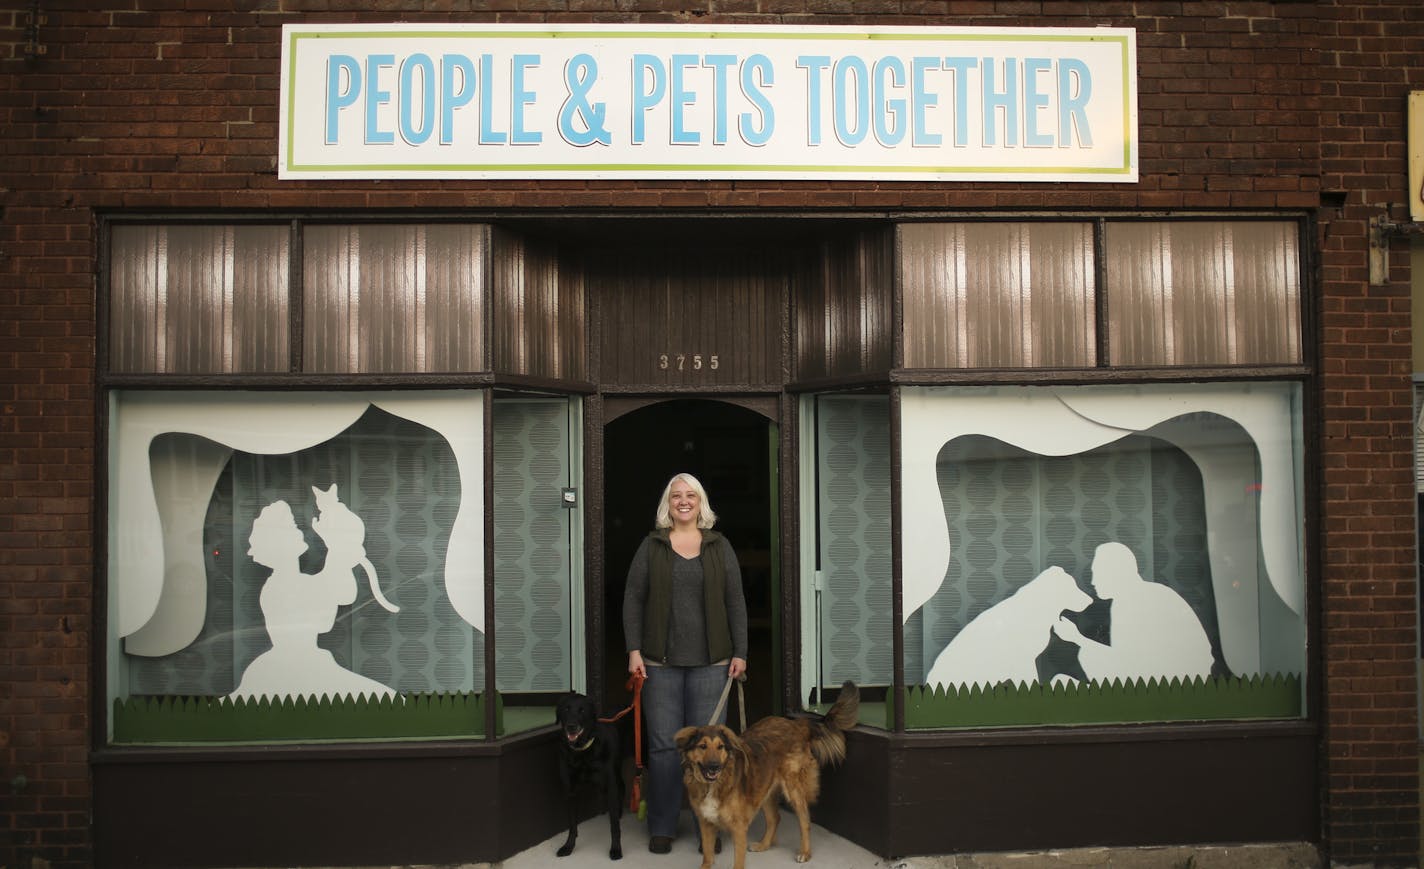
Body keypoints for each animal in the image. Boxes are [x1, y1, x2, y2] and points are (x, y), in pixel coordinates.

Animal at [555, 686, 623, 854]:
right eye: (566, 709)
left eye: (582, 710)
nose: (571, 726)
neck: (582, 752)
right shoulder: (570, 790)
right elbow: (572, 825)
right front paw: (568, 846)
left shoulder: (611, 787)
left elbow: (614, 825)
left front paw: (616, 849)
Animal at [674, 680, 860, 860]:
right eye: (702, 746)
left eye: (720, 747)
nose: (714, 766)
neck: (712, 785)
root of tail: (797, 724)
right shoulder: (706, 824)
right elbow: (707, 858)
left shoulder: (739, 828)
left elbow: (737, 863)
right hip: (764, 789)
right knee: (774, 818)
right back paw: (764, 845)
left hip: (792, 788)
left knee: (805, 821)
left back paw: (805, 853)